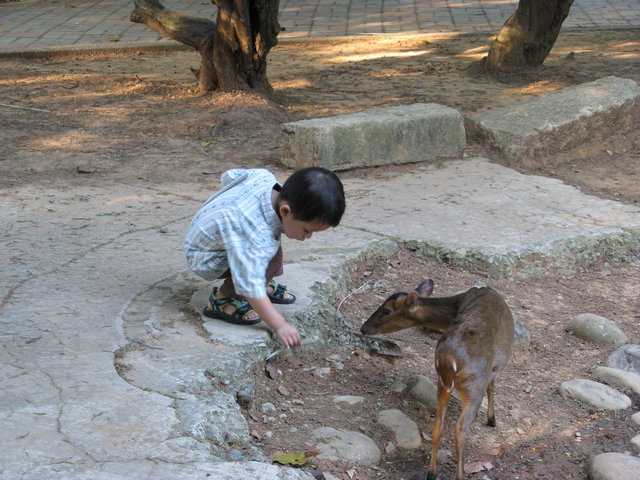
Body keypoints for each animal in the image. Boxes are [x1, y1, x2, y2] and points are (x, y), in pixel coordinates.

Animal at [360, 280, 516, 478]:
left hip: (442, 382)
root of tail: (449, 360)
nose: (363, 328)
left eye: (386, 310)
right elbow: (492, 387)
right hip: (474, 385)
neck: (456, 305)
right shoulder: (498, 366)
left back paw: (431, 472)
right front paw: (492, 419)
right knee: (460, 426)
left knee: (438, 423)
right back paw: (459, 474)